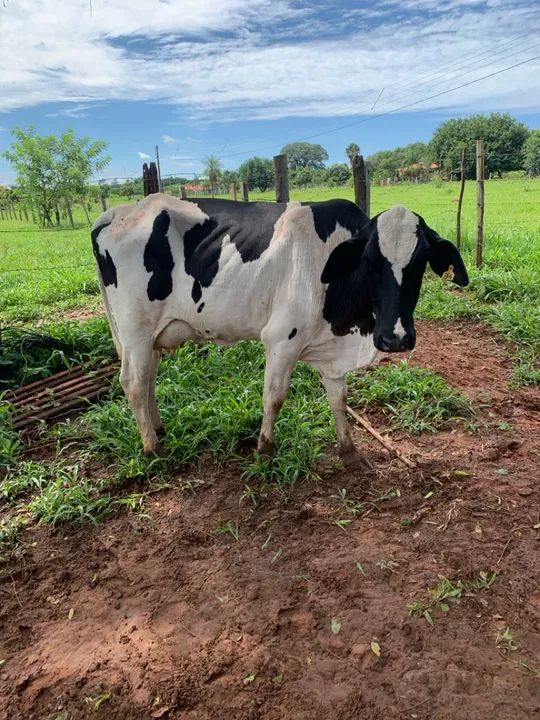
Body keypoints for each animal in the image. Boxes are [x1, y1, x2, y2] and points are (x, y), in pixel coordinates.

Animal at [91, 194, 468, 463]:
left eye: (421, 262)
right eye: (370, 261)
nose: (396, 338)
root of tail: (121, 211)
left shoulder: (332, 350)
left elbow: (338, 398)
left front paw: (348, 450)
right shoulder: (281, 339)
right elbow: (274, 397)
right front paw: (266, 447)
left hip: (151, 335)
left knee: (148, 378)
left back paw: (158, 429)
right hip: (136, 330)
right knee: (133, 383)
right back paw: (152, 448)